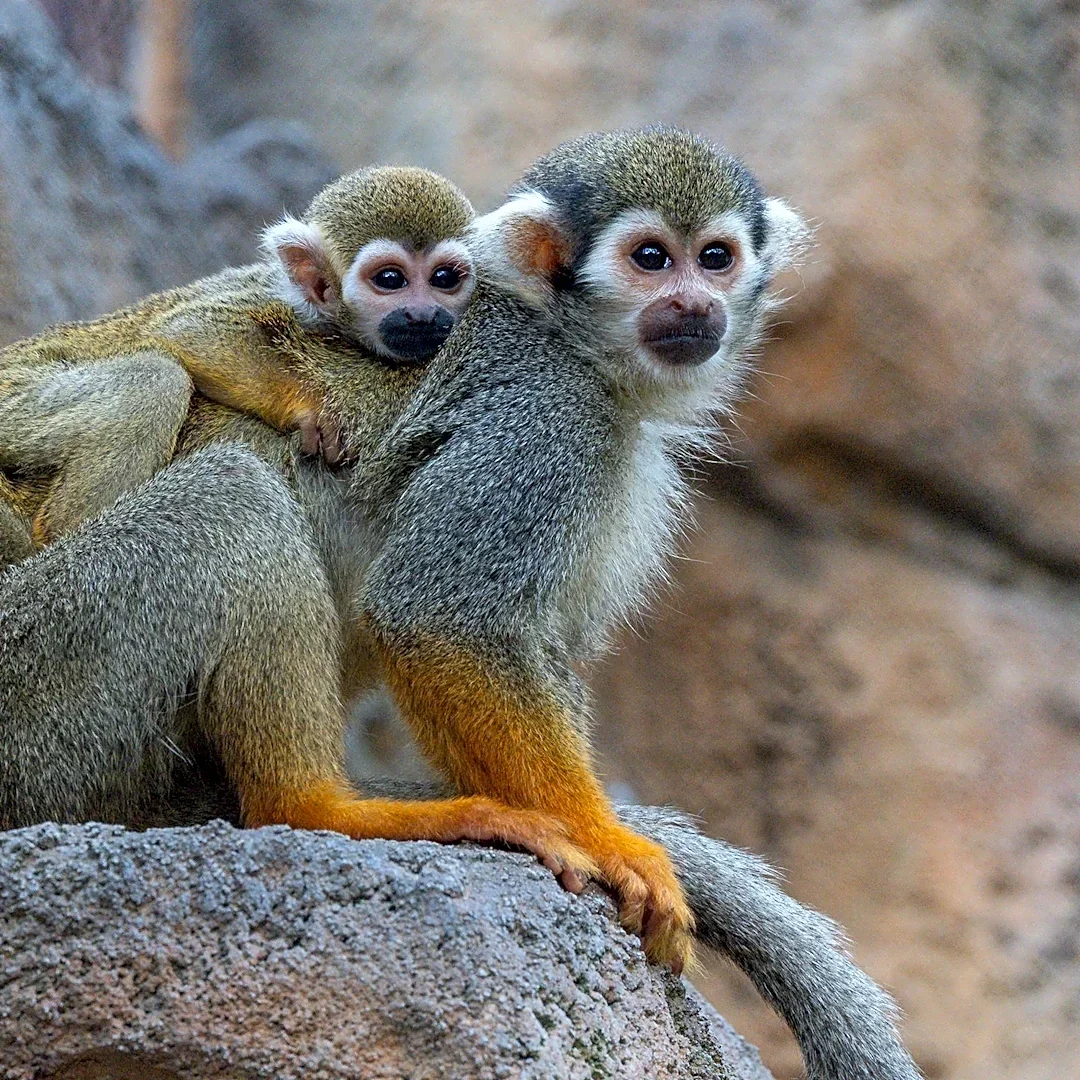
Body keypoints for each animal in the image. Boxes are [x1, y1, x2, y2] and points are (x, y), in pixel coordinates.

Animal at [0, 165, 476, 555]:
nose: (423, 315)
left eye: (444, 279)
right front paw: (309, 410)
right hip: (13, 399)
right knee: (155, 379)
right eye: (390, 280)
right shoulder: (274, 299)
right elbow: (190, 328)